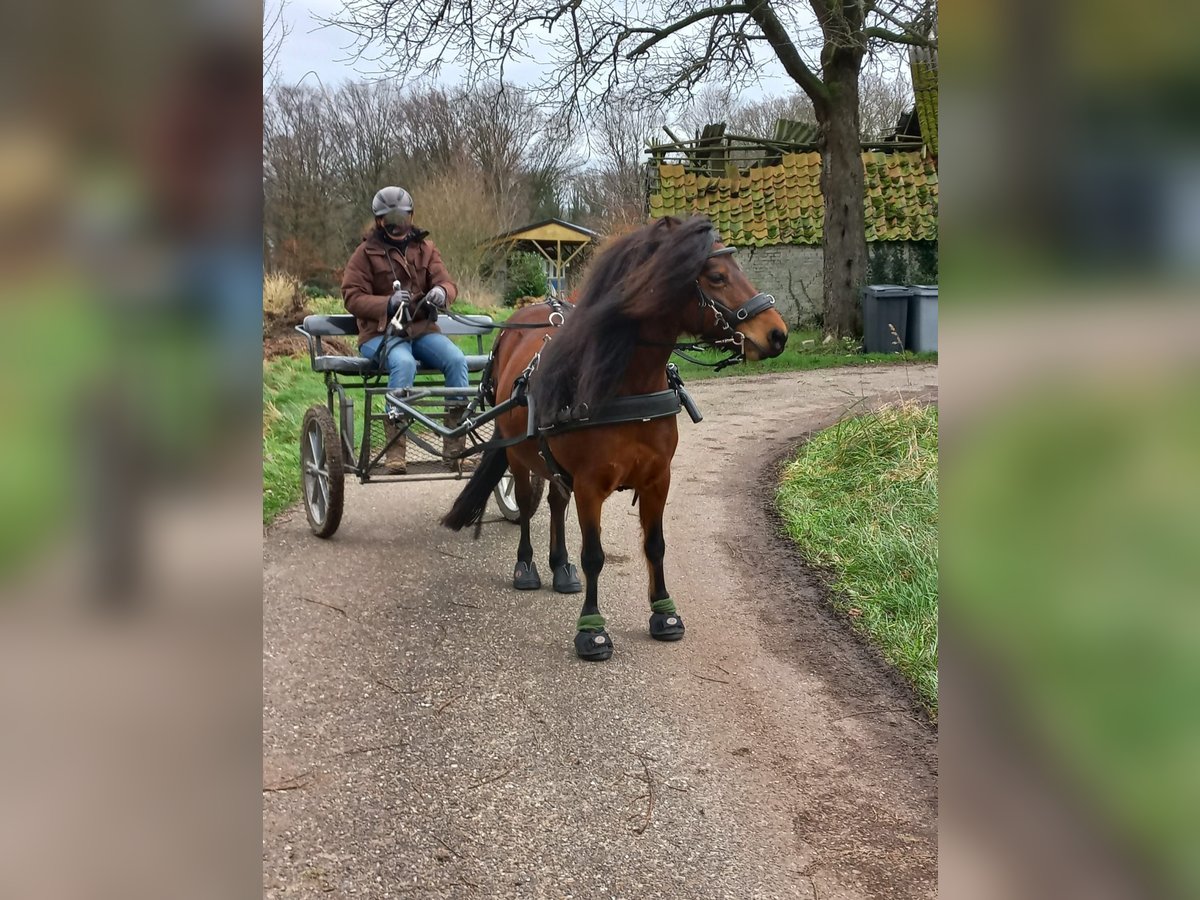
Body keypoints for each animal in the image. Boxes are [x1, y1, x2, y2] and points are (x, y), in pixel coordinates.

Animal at [441, 214, 787, 657]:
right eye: (716, 276)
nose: (778, 333)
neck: (626, 385)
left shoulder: (658, 479)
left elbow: (655, 545)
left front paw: (664, 612)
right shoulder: (590, 485)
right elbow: (594, 556)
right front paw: (591, 629)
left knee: (555, 502)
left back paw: (560, 567)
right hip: (519, 458)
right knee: (527, 507)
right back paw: (527, 566)